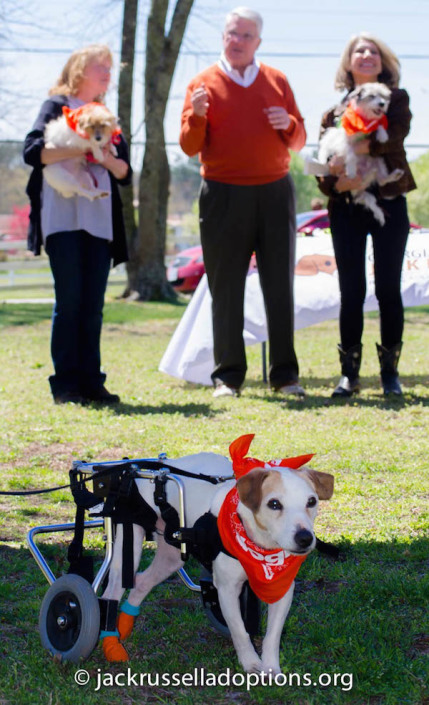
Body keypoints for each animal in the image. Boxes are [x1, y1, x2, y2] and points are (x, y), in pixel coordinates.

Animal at [98, 434, 332, 672]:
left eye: (311, 502)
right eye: (274, 504)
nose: (304, 538)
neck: (259, 548)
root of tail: (150, 471)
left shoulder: (282, 589)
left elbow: (272, 635)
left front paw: (271, 668)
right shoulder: (227, 589)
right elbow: (239, 631)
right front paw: (250, 663)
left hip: (171, 555)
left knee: (142, 581)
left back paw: (125, 626)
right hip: (128, 547)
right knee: (111, 593)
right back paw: (111, 642)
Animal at [306, 82, 402, 226]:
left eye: (383, 96)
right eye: (371, 96)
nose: (382, 104)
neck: (364, 119)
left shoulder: (373, 126)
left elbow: (379, 124)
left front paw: (383, 136)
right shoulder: (344, 139)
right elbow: (350, 154)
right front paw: (350, 170)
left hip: (378, 162)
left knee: (381, 181)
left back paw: (395, 176)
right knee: (324, 145)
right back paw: (323, 159)